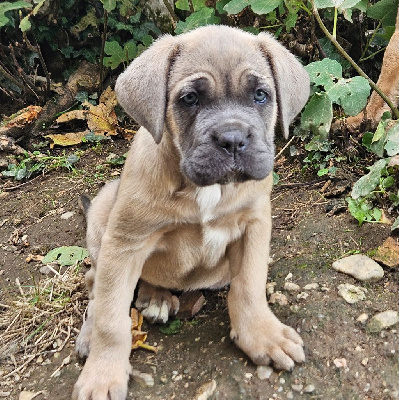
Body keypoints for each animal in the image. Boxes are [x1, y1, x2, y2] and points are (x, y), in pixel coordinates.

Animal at [72, 25, 310, 400]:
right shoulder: (125, 242)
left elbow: (249, 285)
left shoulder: (254, 225)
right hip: (103, 214)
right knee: (96, 286)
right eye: (189, 99)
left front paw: (262, 334)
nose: (232, 139)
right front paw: (102, 375)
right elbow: (112, 319)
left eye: (260, 95)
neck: (205, 189)